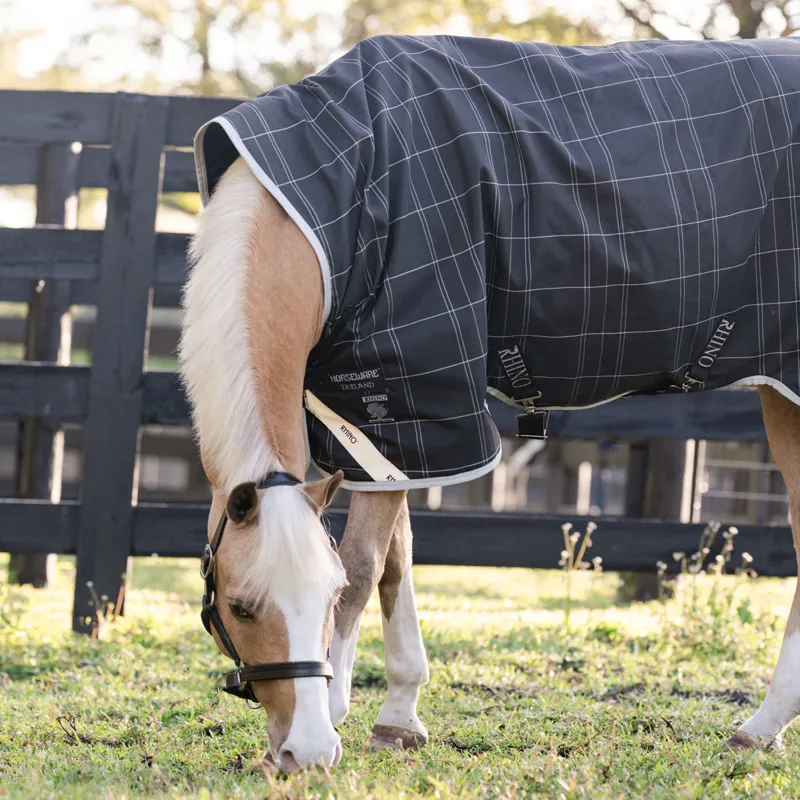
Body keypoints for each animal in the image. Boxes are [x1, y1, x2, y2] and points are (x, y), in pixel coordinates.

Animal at [179, 35, 800, 771]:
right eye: (241, 608)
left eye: (323, 599)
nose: (305, 753)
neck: (337, 199)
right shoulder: (385, 428)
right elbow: (396, 562)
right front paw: (399, 716)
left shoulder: (415, 395)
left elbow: (365, 566)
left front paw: (339, 709)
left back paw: (762, 724)